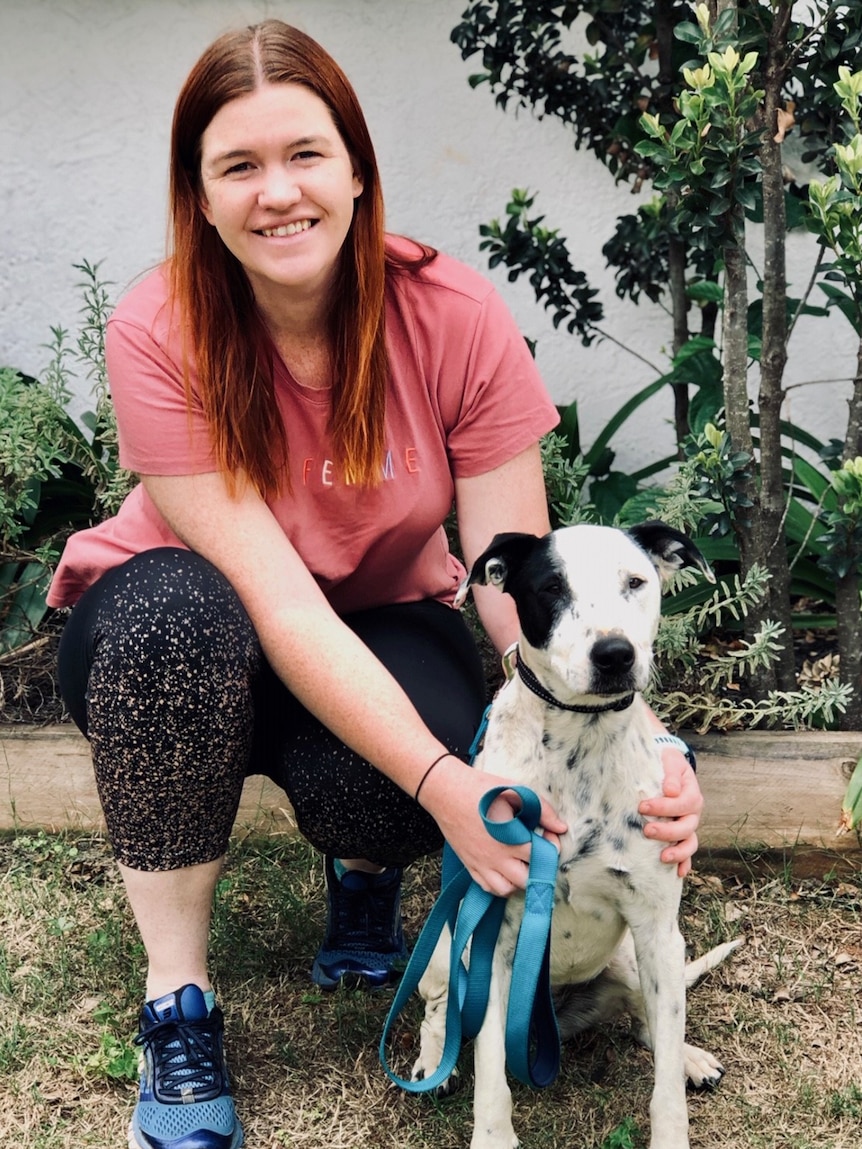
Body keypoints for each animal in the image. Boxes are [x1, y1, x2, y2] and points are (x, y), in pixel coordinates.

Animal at [411, 523, 744, 1149]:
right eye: (551, 587)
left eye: (635, 582)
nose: (615, 653)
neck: (580, 745)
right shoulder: (493, 937)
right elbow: (490, 1067)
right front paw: (492, 1135)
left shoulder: (657, 929)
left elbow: (663, 1078)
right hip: (444, 949)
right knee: (442, 1008)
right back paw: (433, 1060)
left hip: (640, 959)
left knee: (652, 1025)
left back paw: (687, 1056)